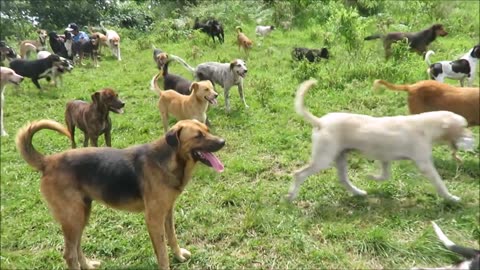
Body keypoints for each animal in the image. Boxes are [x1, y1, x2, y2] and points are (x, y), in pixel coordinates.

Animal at [15, 119, 225, 270]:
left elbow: (172, 237)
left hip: (80, 215)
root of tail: (48, 161)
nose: (223, 141)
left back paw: (88, 265)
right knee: (69, 254)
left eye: (207, 129)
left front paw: (179, 256)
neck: (169, 160)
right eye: (198, 136)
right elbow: (162, 253)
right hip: (73, 217)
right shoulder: (154, 218)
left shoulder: (167, 212)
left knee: (76, 247)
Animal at [286, 79, 474, 202]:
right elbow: (439, 182)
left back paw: (358, 193)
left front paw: (371, 177)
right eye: (463, 126)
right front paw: (451, 197)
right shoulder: (424, 164)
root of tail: (320, 122)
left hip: (340, 157)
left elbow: (384, 176)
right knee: (299, 174)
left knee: (343, 179)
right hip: (323, 159)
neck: (425, 125)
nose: (472, 138)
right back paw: (291, 196)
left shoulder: (385, 159)